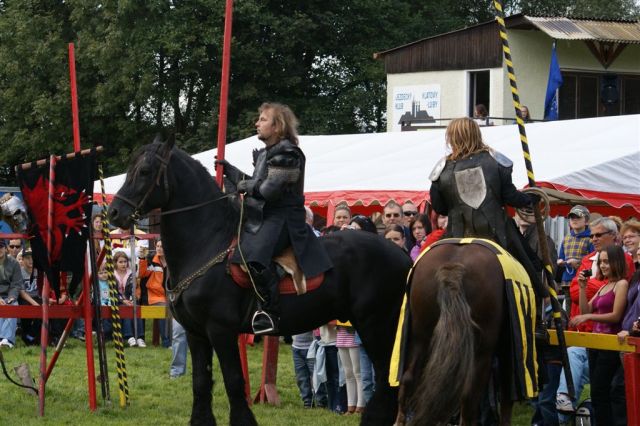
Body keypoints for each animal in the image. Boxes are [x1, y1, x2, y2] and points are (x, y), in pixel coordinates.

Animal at [108, 138, 412, 424]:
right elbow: (201, 383)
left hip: (377, 326)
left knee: (388, 380)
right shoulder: (196, 333)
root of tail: (403, 258)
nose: (113, 212)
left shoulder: (221, 330)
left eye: (144, 171)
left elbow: (233, 381)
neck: (207, 242)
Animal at [396, 241, 520, 424]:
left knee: (409, 378)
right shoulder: (506, 349)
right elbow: (507, 393)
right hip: (482, 350)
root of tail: (453, 270)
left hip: (420, 335)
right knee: (469, 395)